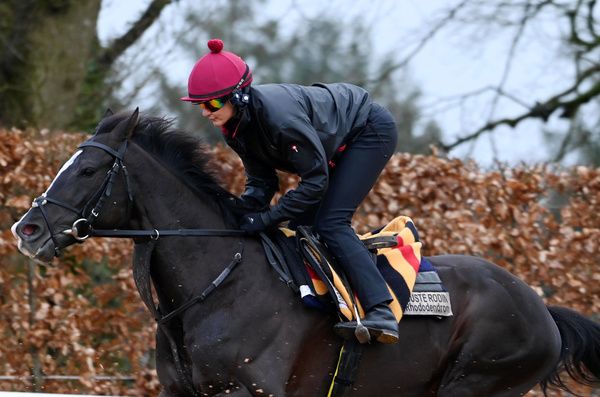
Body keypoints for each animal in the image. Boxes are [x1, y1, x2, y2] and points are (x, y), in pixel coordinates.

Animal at [9, 109, 600, 396]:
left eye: (88, 169)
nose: (26, 228)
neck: (217, 284)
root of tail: (543, 309)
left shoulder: (251, 390)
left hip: (479, 381)